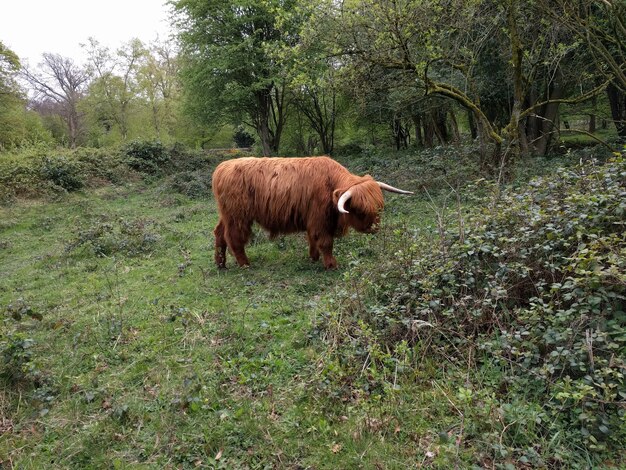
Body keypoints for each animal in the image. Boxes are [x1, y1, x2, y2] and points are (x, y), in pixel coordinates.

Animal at [212, 157, 412, 270]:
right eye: (360, 211)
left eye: (379, 207)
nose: (375, 228)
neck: (330, 184)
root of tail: (221, 167)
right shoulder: (319, 219)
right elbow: (325, 242)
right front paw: (331, 265)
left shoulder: (312, 219)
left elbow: (313, 240)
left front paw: (313, 258)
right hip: (238, 216)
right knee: (234, 238)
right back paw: (244, 263)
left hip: (226, 214)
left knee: (219, 234)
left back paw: (221, 264)